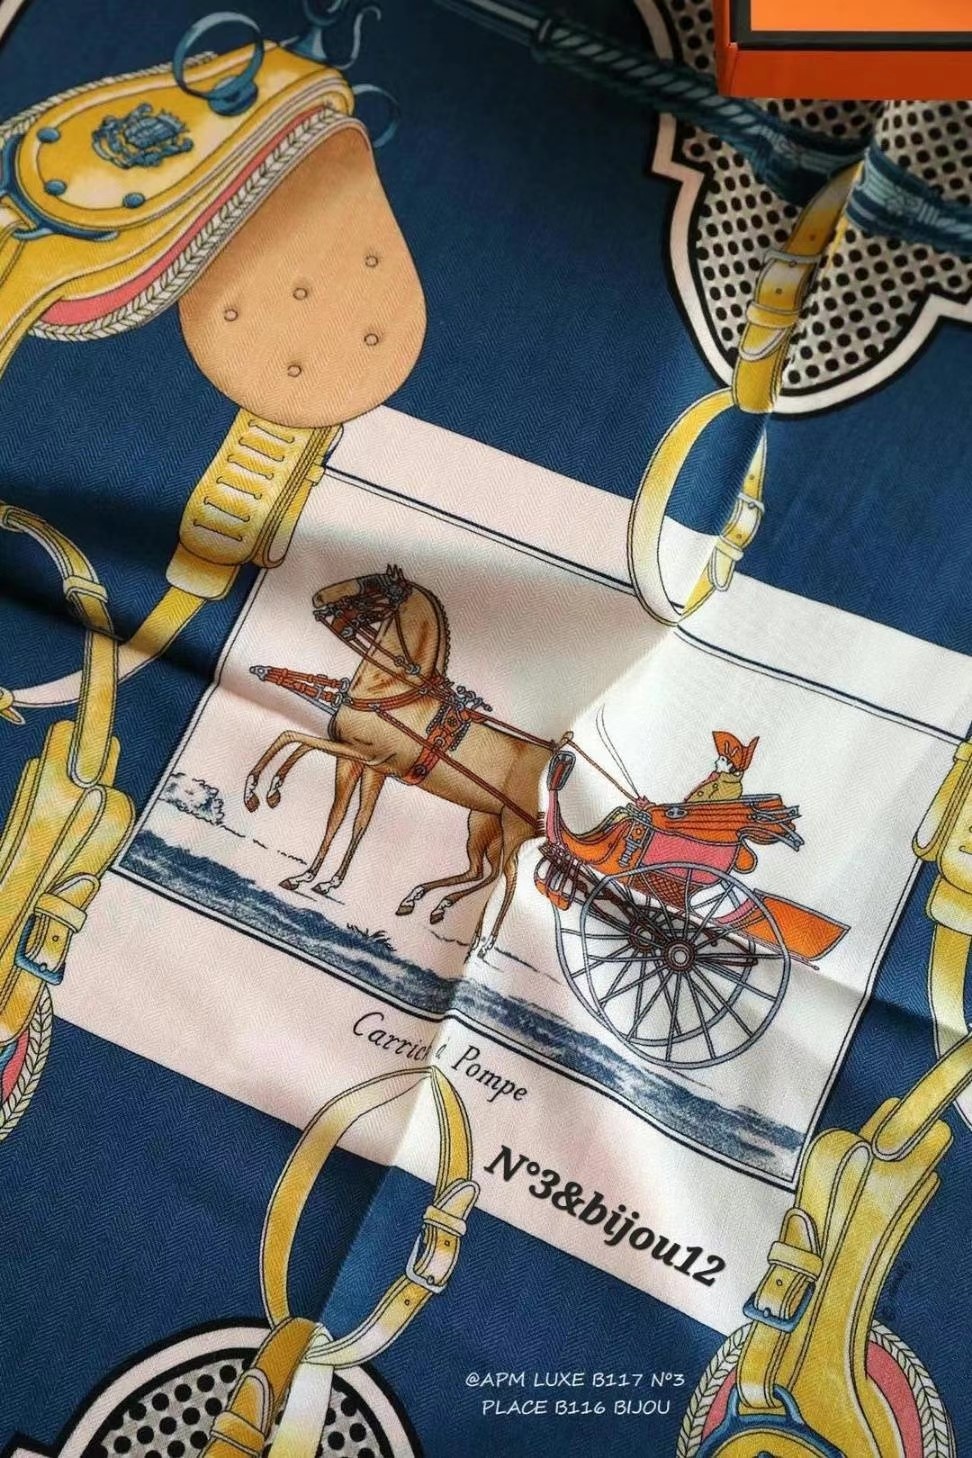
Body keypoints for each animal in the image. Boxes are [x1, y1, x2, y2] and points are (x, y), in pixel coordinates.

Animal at [243, 566, 552, 952]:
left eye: (375, 585)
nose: (318, 597)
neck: (394, 694)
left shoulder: (365, 756)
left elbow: (292, 736)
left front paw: (255, 791)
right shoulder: (364, 763)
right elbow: (344, 817)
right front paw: (312, 876)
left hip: (511, 829)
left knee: (497, 877)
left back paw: (453, 918)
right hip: (484, 823)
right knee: (490, 872)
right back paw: (431, 907)